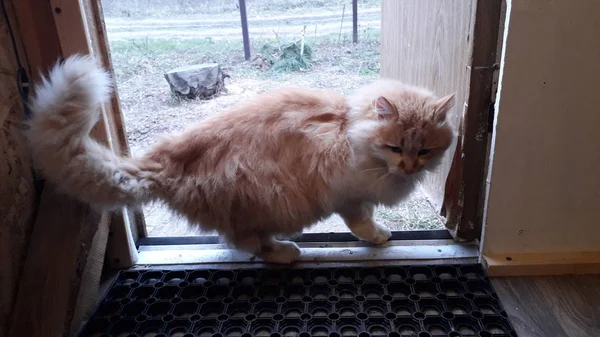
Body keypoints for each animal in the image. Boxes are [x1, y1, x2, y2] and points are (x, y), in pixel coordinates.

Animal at [24, 54, 454, 262]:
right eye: (395, 148)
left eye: (424, 150)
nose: (410, 167)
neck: (349, 127)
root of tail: (165, 160)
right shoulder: (349, 196)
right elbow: (363, 224)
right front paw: (381, 237)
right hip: (273, 201)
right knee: (248, 244)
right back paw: (285, 252)